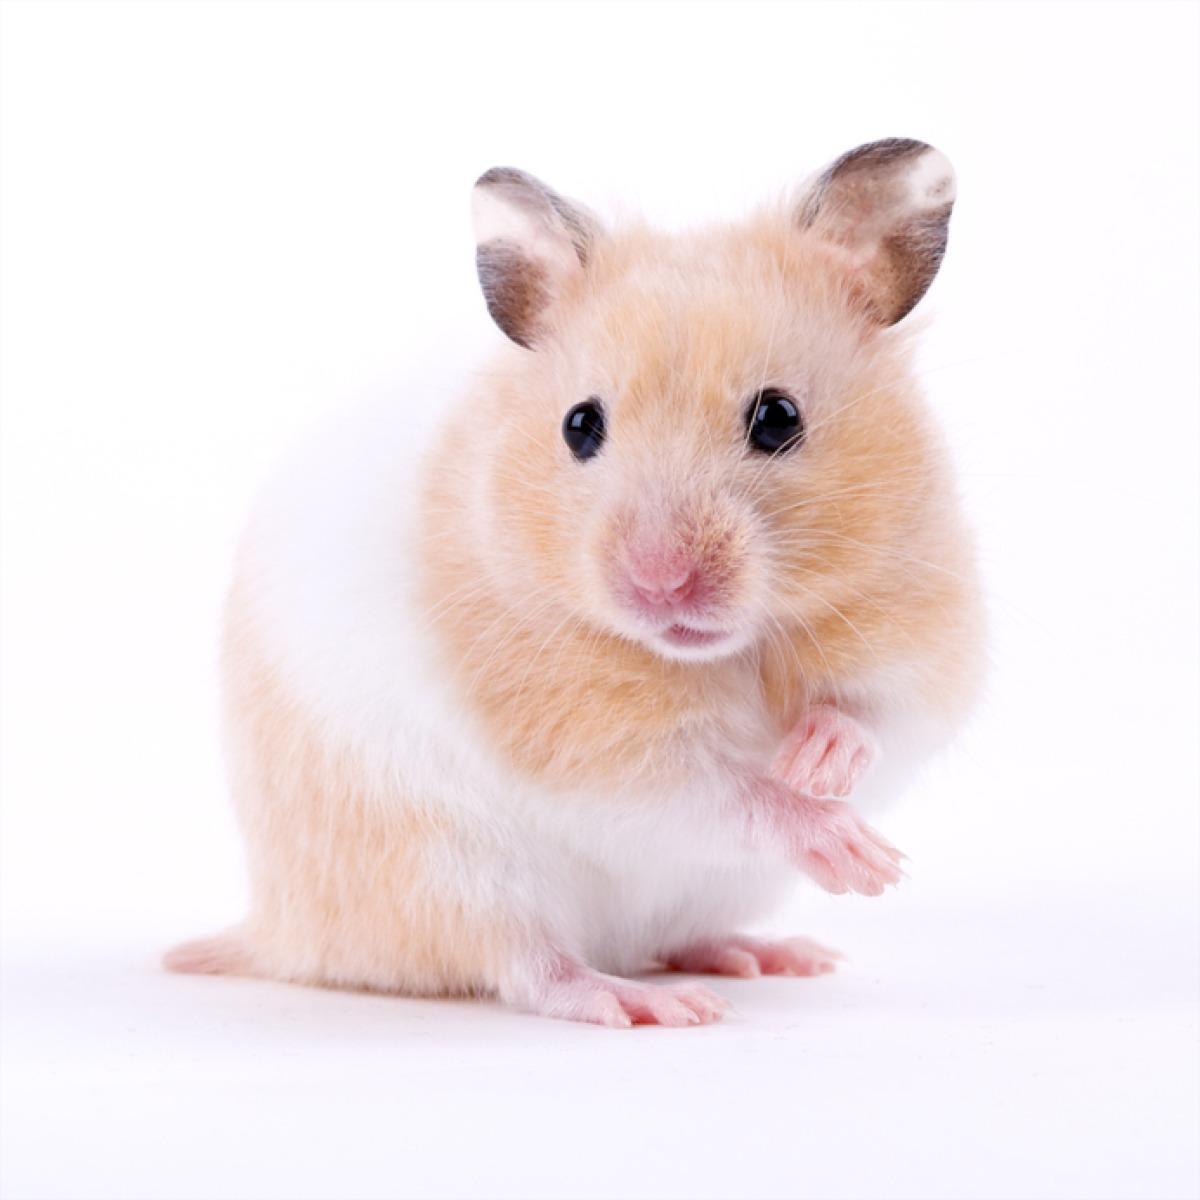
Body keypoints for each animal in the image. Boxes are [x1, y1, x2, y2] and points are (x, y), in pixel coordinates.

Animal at [165, 138, 983, 1027]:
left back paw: (773, 956)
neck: (720, 653)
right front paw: (860, 858)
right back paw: (655, 1004)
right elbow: (720, 794)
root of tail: (277, 930)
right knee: (533, 969)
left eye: (779, 418)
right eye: (579, 425)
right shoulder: (595, 751)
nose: (660, 583)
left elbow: (874, 714)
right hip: (452, 874)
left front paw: (819, 762)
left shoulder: (919, 635)